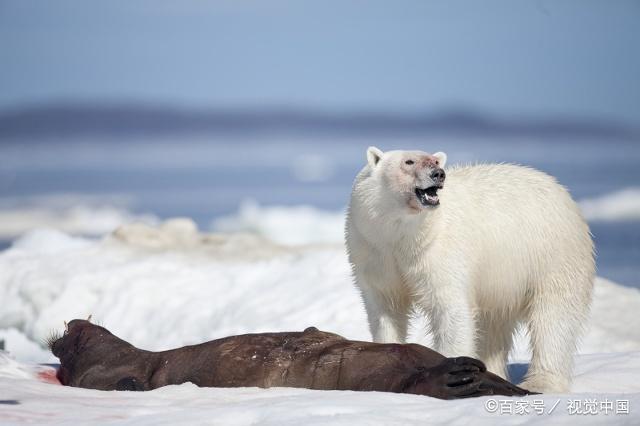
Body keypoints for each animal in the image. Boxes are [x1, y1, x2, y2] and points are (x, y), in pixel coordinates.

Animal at [344, 147, 596, 392]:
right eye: (408, 161)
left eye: (436, 161)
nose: (438, 174)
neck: (403, 236)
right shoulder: (374, 252)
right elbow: (386, 309)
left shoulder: (439, 253)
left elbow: (450, 309)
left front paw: (454, 370)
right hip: (500, 281)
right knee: (492, 326)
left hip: (552, 257)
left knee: (553, 319)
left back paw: (541, 382)